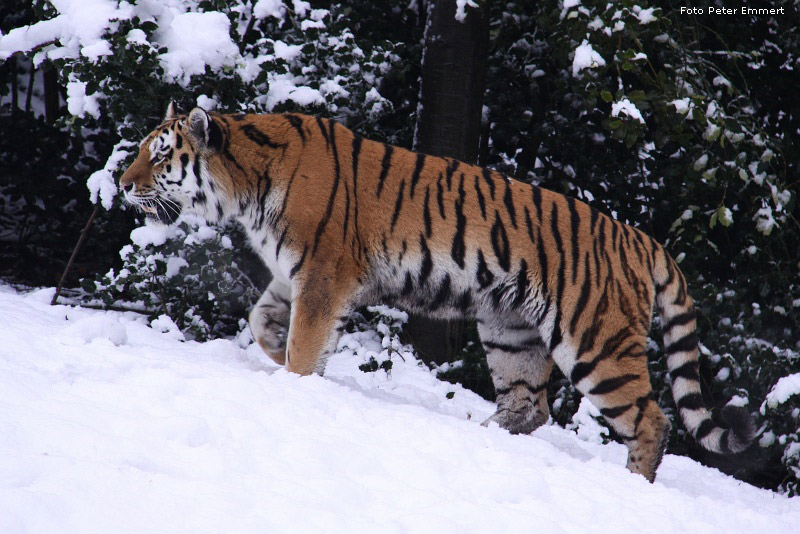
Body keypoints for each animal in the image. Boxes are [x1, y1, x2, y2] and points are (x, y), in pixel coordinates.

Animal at [115, 102, 752, 484]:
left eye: (160, 155)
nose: (121, 183)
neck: (243, 186)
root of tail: (642, 238)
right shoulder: (296, 274)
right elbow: (260, 316)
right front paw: (274, 352)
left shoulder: (322, 274)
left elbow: (304, 339)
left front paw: (292, 380)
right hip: (510, 328)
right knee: (530, 405)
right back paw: (483, 438)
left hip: (595, 339)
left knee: (651, 418)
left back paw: (631, 481)